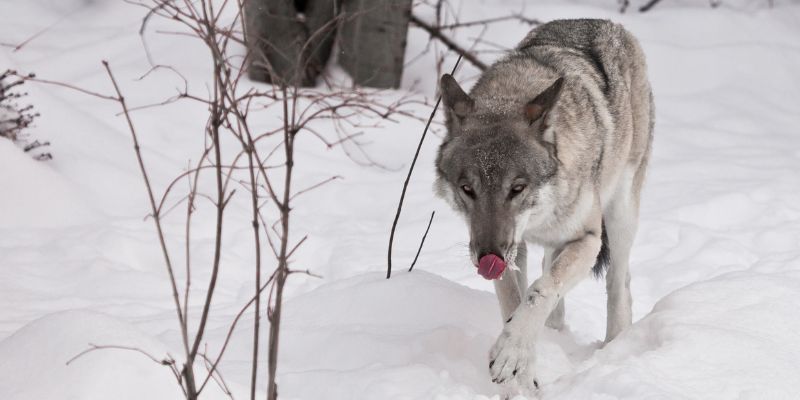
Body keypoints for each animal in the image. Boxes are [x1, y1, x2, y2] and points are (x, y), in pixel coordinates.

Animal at [434, 18, 652, 394]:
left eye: (517, 188)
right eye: (468, 189)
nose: (487, 257)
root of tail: (604, 23)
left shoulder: (586, 240)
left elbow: (539, 291)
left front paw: (511, 354)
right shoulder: (512, 247)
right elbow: (513, 302)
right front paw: (519, 379)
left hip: (621, 214)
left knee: (617, 282)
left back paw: (614, 345)